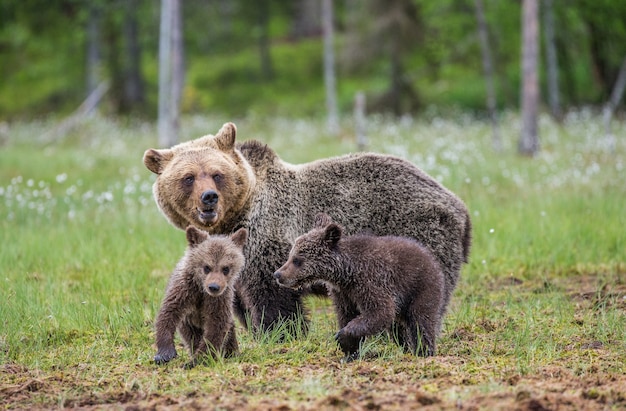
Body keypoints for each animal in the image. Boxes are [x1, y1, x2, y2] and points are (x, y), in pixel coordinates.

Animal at [143, 124, 468, 336]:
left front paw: (280, 333)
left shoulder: (269, 235)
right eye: (188, 177)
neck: (237, 216)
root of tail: (459, 205)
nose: (208, 198)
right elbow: (236, 296)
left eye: (216, 173)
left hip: (418, 228)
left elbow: (273, 295)